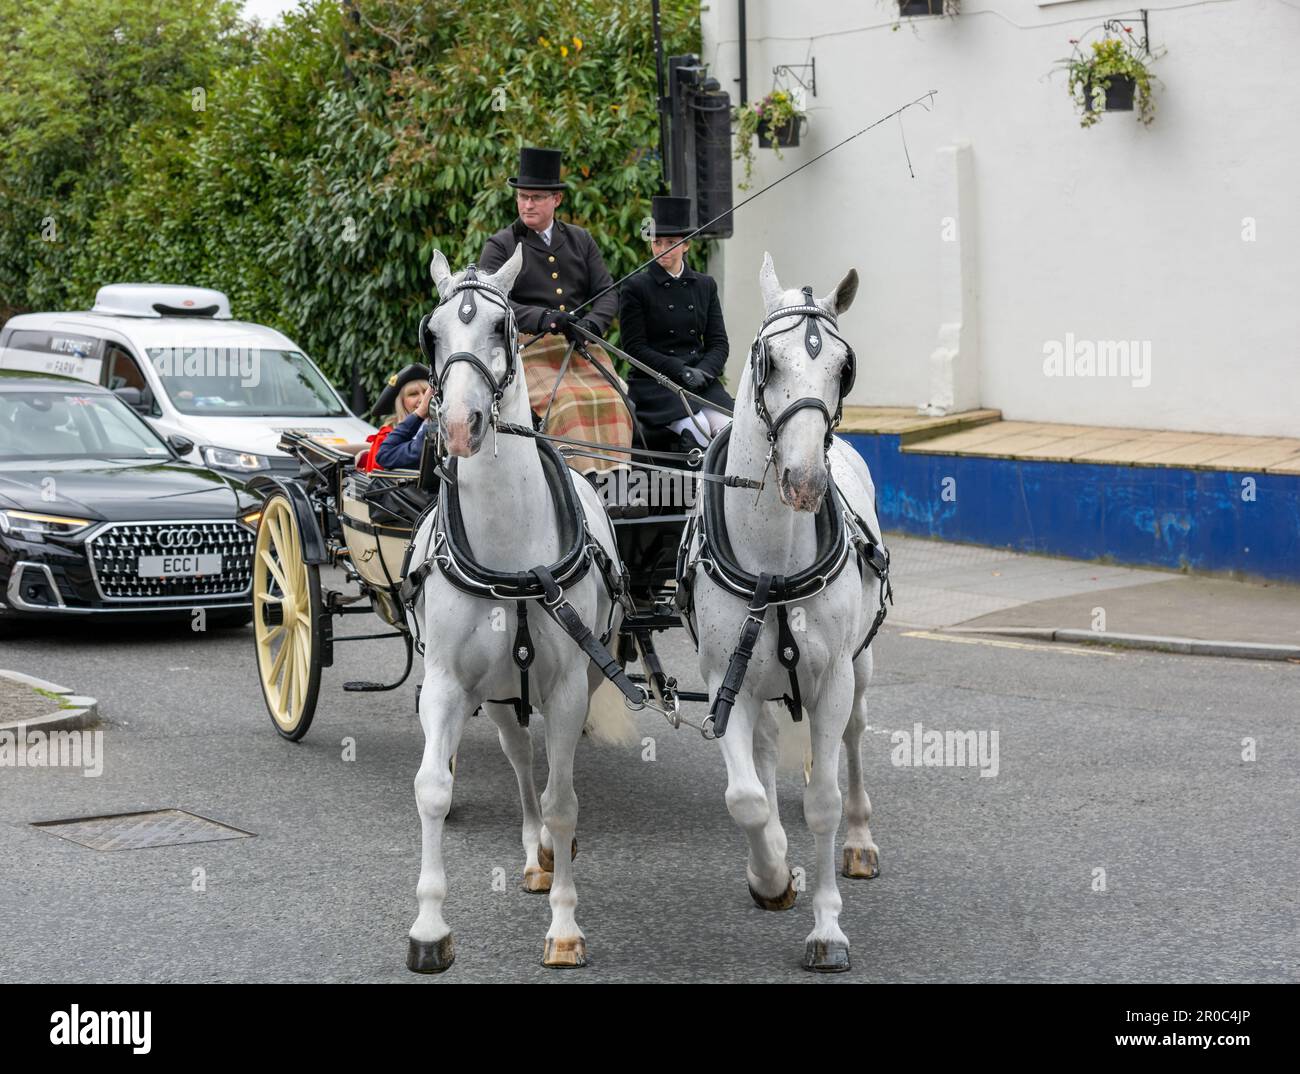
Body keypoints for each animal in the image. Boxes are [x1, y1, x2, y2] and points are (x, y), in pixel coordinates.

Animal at [403, 249, 631, 972]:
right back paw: (535, 854)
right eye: (432, 333)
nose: (458, 426)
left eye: (501, 327)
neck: (511, 548)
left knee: (552, 774)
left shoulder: (566, 687)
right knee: (521, 762)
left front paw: (564, 926)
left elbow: (565, 799)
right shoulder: (447, 684)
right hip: (501, 692)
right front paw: (429, 928)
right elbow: (434, 788)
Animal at [681, 253, 883, 972]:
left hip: (862, 668)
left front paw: (827, 930)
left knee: (853, 740)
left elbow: (822, 799)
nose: (804, 482)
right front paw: (770, 873)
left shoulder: (831, 681)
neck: (771, 554)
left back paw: (859, 840)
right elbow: (742, 796)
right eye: (768, 360)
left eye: (844, 367)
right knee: (767, 749)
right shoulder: (725, 680)